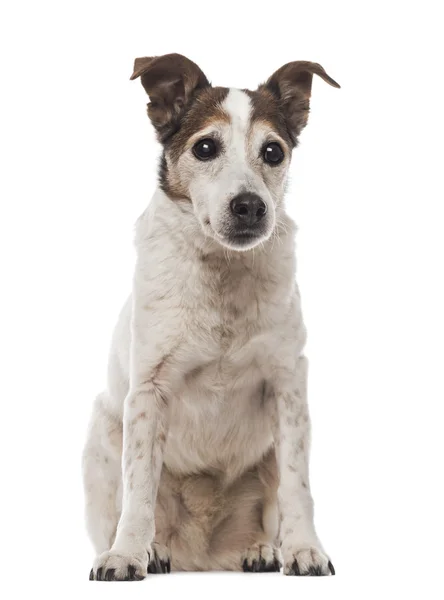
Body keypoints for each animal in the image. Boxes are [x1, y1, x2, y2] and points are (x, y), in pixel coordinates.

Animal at [83, 52, 340, 580]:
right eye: (205, 147)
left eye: (273, 152)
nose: (250, 206)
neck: (222, 272)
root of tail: (202, 556)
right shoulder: (148, 393)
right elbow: (139, 489)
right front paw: (127, 554)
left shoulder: (288, 388)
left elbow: (297, 486)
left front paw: (304, 549)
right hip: (102, 429)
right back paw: (154, 549)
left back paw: (262, 549)